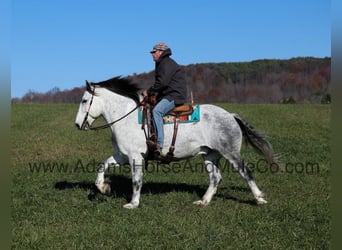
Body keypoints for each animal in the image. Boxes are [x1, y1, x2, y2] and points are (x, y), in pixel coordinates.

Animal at [75, 76, 276, 209]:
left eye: (84, 100)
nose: (77, 125)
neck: (127, 117)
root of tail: (231, 115)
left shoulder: (135, 157)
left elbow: (136, 181)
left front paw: (133, 203)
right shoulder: (122, 155)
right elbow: (102, 166)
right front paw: (104, 188)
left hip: (231, 153)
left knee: (245, 172)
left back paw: (259, 198)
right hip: (210, 155)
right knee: (215, 178)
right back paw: (203, 201)